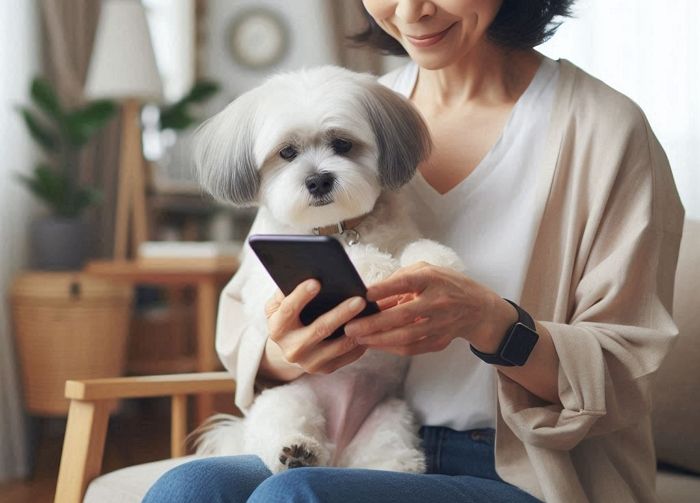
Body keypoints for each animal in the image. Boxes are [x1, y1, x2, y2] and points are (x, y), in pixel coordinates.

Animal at [194, 66, 462, 472]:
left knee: (389, 456)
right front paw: (376, 268)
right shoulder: (267, 286)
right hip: (287, 398)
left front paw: (439, 263)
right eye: (287, 153)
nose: (318, 179)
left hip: (390, 419)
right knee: (283, 426)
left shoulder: (401, 235)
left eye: (342, 144)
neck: (335, 228)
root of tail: (337, 451)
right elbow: (360, 261)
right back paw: (297, 452)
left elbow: (417, 249)